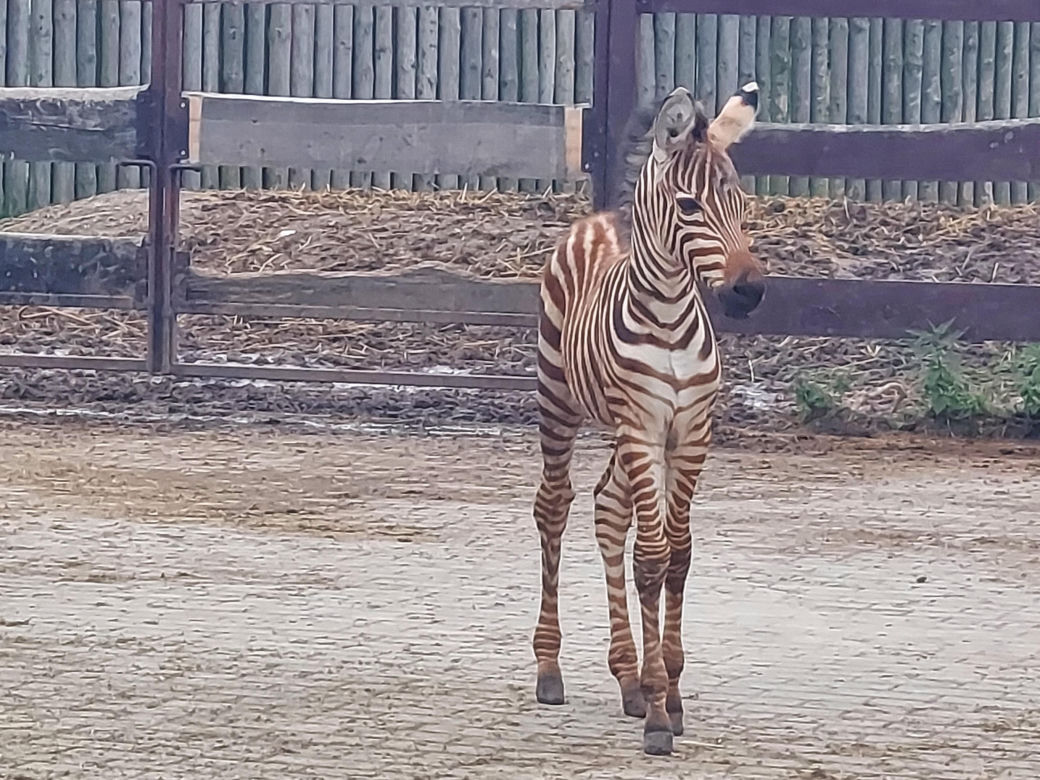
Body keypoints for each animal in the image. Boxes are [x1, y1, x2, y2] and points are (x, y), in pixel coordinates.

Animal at [531, 82, 765, 756]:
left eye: (741, 201)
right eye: (689, 204)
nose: (749, 292)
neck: (669, 318)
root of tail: (599, 217)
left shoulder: (690, 432)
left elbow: (678, 555)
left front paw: (667, 692)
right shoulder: (642, 424)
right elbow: (654, 559)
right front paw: (660, 712)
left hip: (624, 431)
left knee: (609, 508)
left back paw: (627, 678)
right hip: (558, 400)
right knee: (554, 507)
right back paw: (551, 668)